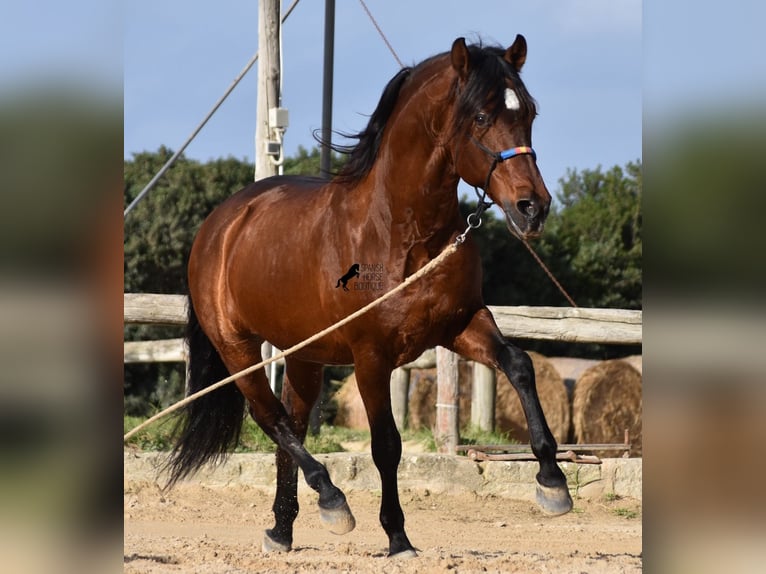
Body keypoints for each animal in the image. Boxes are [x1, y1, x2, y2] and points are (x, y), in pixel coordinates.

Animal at [170, 35, 576, 560]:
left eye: (528, 112)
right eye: (482, 116)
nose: (533, 208)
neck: (402, 233)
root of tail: (220, 224)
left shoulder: (461, 323)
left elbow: (520, 365)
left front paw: (553, 482)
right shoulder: (370, 356)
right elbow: (386, 444)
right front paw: (398, 538)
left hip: (304, 356)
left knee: (291, 425)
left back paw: (282, 529)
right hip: (237, 348)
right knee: (270, 417)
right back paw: (332, 501)